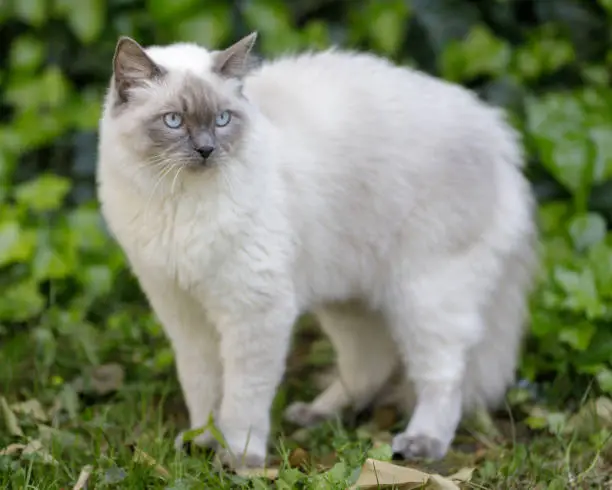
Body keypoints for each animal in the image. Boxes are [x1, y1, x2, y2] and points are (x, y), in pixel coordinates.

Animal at [95, 30, 536, 468]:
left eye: (222, 119)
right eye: (173, 120)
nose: (206, 150)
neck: (179, 201)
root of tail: (500, 134)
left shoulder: (253, 312)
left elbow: (242, 397)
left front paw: (238, 456)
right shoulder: (183, 313)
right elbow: (202, 388)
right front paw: (199, 443)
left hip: (424, 297)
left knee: (444, 376)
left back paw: (420, 443)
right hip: (349, 299)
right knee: (369, 365)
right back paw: (315, 414)